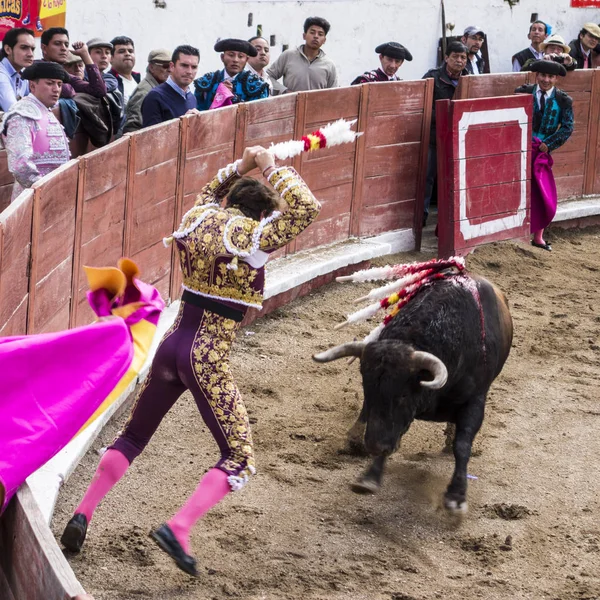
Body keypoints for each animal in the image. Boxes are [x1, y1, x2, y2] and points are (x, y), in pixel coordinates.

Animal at [312, 274, 512, 512]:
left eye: (403, 395)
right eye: (367, 388)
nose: (373, 445)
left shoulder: (475, 402)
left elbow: (462, 445)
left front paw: (456, 496)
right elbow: (393, 432)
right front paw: (369, 477)